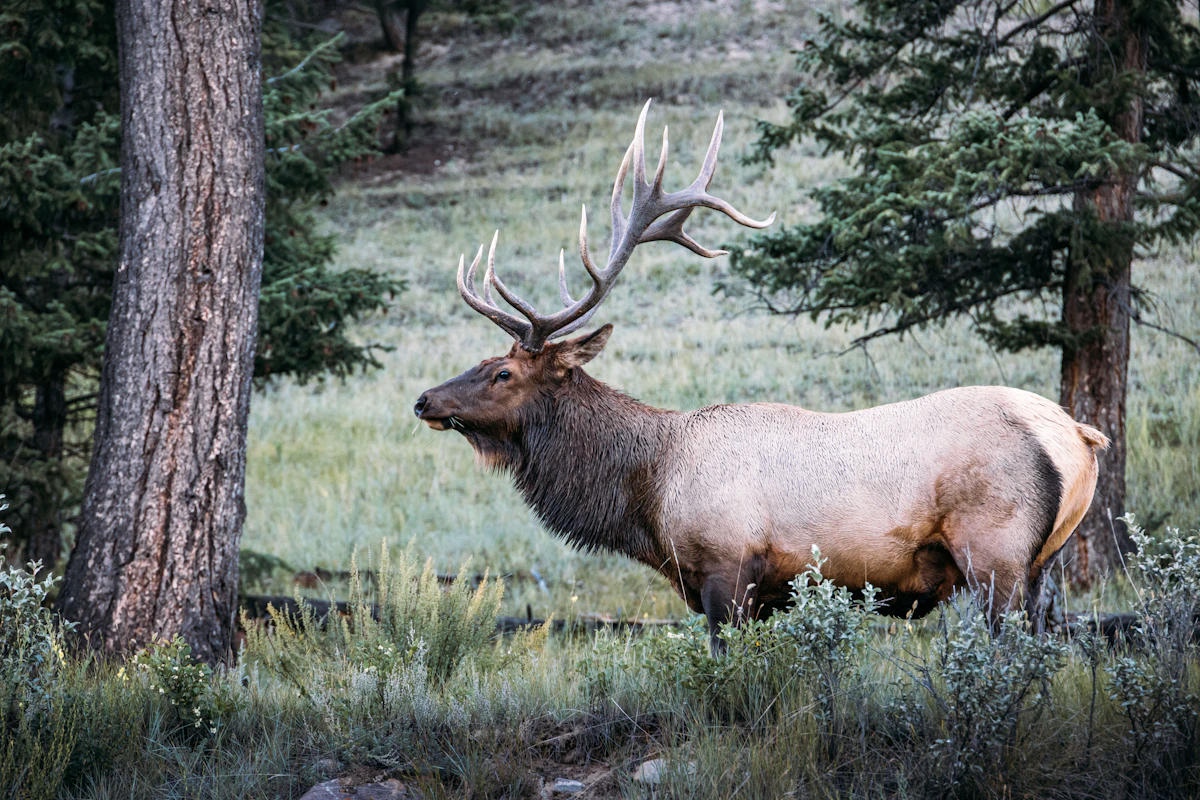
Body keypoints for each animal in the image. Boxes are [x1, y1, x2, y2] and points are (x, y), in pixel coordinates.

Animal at [414, 101, 1109, 647]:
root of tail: (1078, 435)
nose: (424, 401)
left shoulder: (727, 570)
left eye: (503, 373)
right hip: (1043, 564)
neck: (649, 491)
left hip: (996, 554)